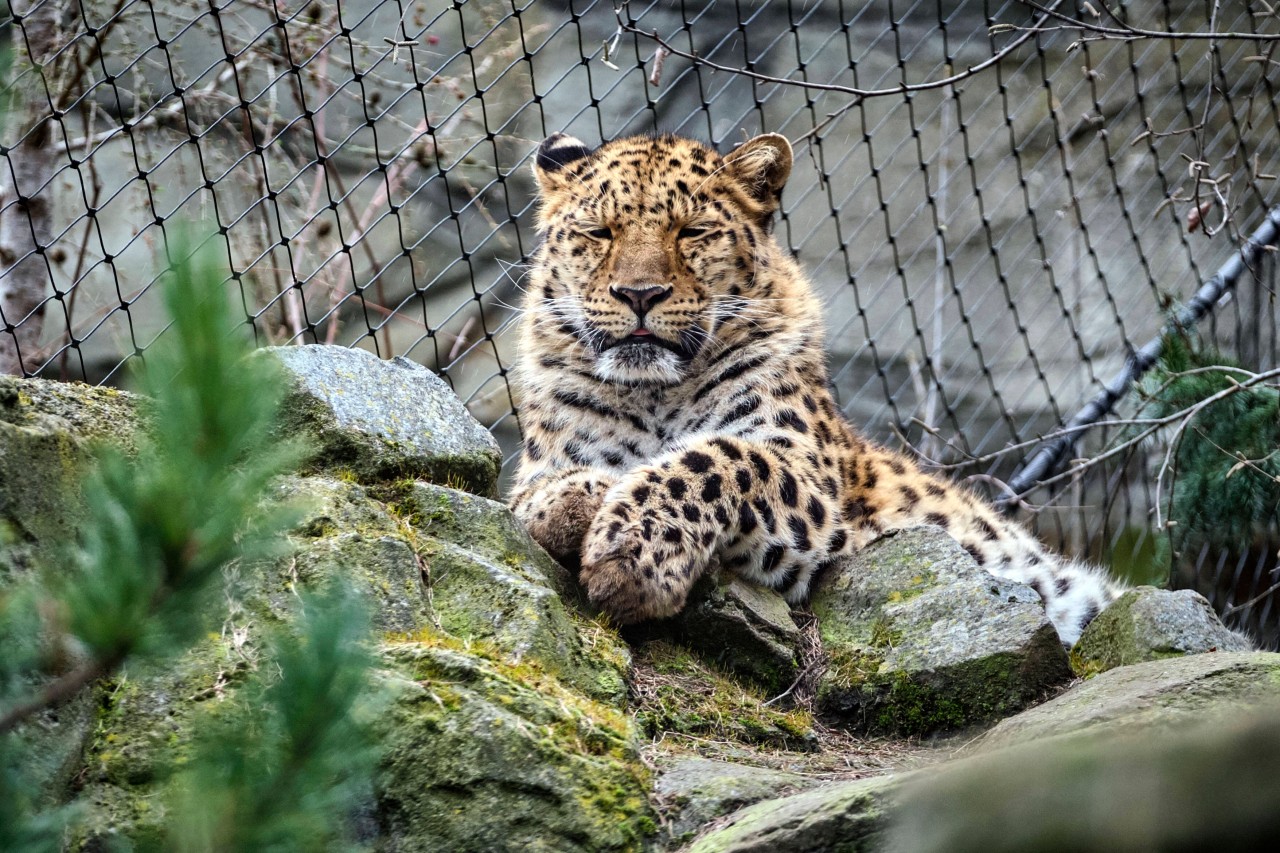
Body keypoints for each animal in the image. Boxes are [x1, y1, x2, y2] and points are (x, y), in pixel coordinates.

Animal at [504, 129, 1126, 640]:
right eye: (598, 232)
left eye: (693, 231)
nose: (639, 294)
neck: (654, 391)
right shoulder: (546, 461)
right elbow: (536, 495)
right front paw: (580, 500)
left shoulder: (809, 480)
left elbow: (715, 460)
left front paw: (632, 554)